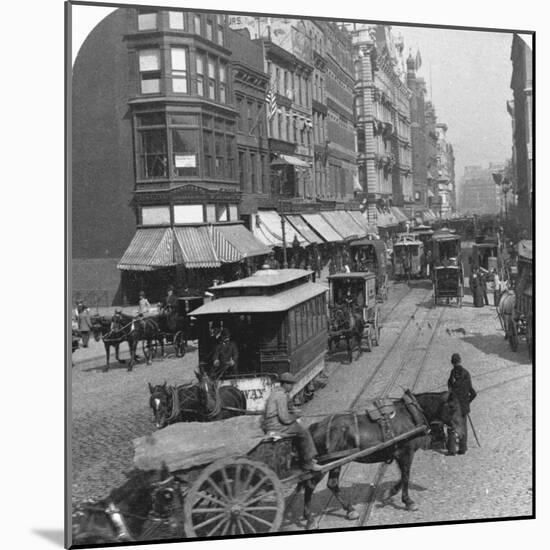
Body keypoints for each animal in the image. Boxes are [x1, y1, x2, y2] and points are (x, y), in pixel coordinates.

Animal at [298, 392, 466, 532]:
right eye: (452, 407)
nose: (461, 432)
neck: (411, 415)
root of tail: (314, 428)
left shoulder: (399, 455)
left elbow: (402, 477)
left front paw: (390, 492)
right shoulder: (406, 453)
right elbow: (406, 476)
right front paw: (408, 502)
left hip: (336, 463)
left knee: (332, 484)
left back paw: (350, 510)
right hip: (324, 465)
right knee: (310, 485)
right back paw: (310, 519)